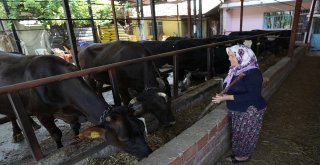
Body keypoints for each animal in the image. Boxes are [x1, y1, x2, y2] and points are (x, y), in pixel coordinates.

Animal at [0, 52, 152, 160]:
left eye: (141, 126)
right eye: (124, 138)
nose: (149, 152)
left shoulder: (73, 114)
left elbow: (75, 128)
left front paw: (76, 138)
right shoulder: (42, 114)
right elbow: (56, 134)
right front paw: (59, 148)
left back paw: (32, 125)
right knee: (12, 116)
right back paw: (17, 133)